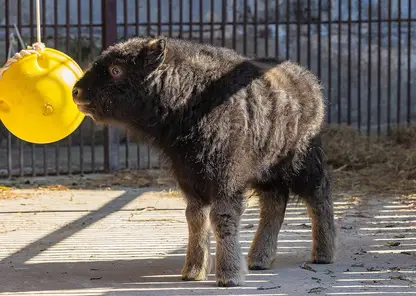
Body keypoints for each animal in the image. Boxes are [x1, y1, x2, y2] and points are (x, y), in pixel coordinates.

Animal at [73, 36, 336, 286]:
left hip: (302, 163)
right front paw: (193, 270)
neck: (191, 96)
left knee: (319, 196)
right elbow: (195, 218)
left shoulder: (225, 180)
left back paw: (323, 254)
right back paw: (259, 259)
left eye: (116, 69)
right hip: (268, 172)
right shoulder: (190, 178)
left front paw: (229, 275)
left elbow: (222, 218)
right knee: (274, 204)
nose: (77, 91)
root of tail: (309, 81)